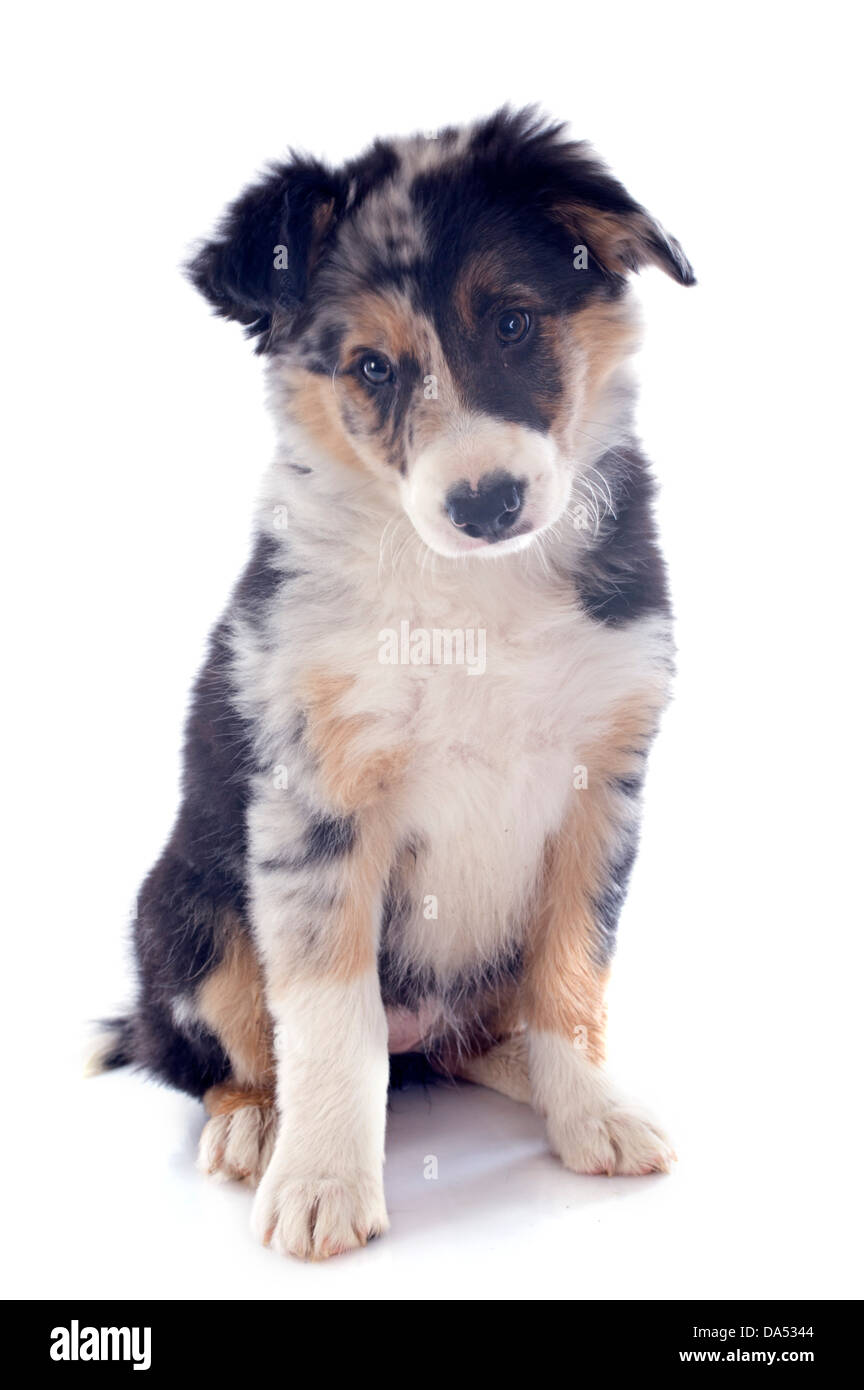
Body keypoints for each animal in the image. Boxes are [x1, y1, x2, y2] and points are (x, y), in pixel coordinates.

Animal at [100, 108, 697, 1262]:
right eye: (372, 367)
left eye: (512, 323)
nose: (487, 502)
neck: (469, 592)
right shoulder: (316, 799)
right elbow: (332, 1018)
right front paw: (322, 1184)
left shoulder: (601, 783)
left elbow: (574, 973)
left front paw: (591, 1110)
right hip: (186, 915)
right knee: (226, 1051)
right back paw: (258, 1129)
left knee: (472, 1034)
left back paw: (526, 1075)